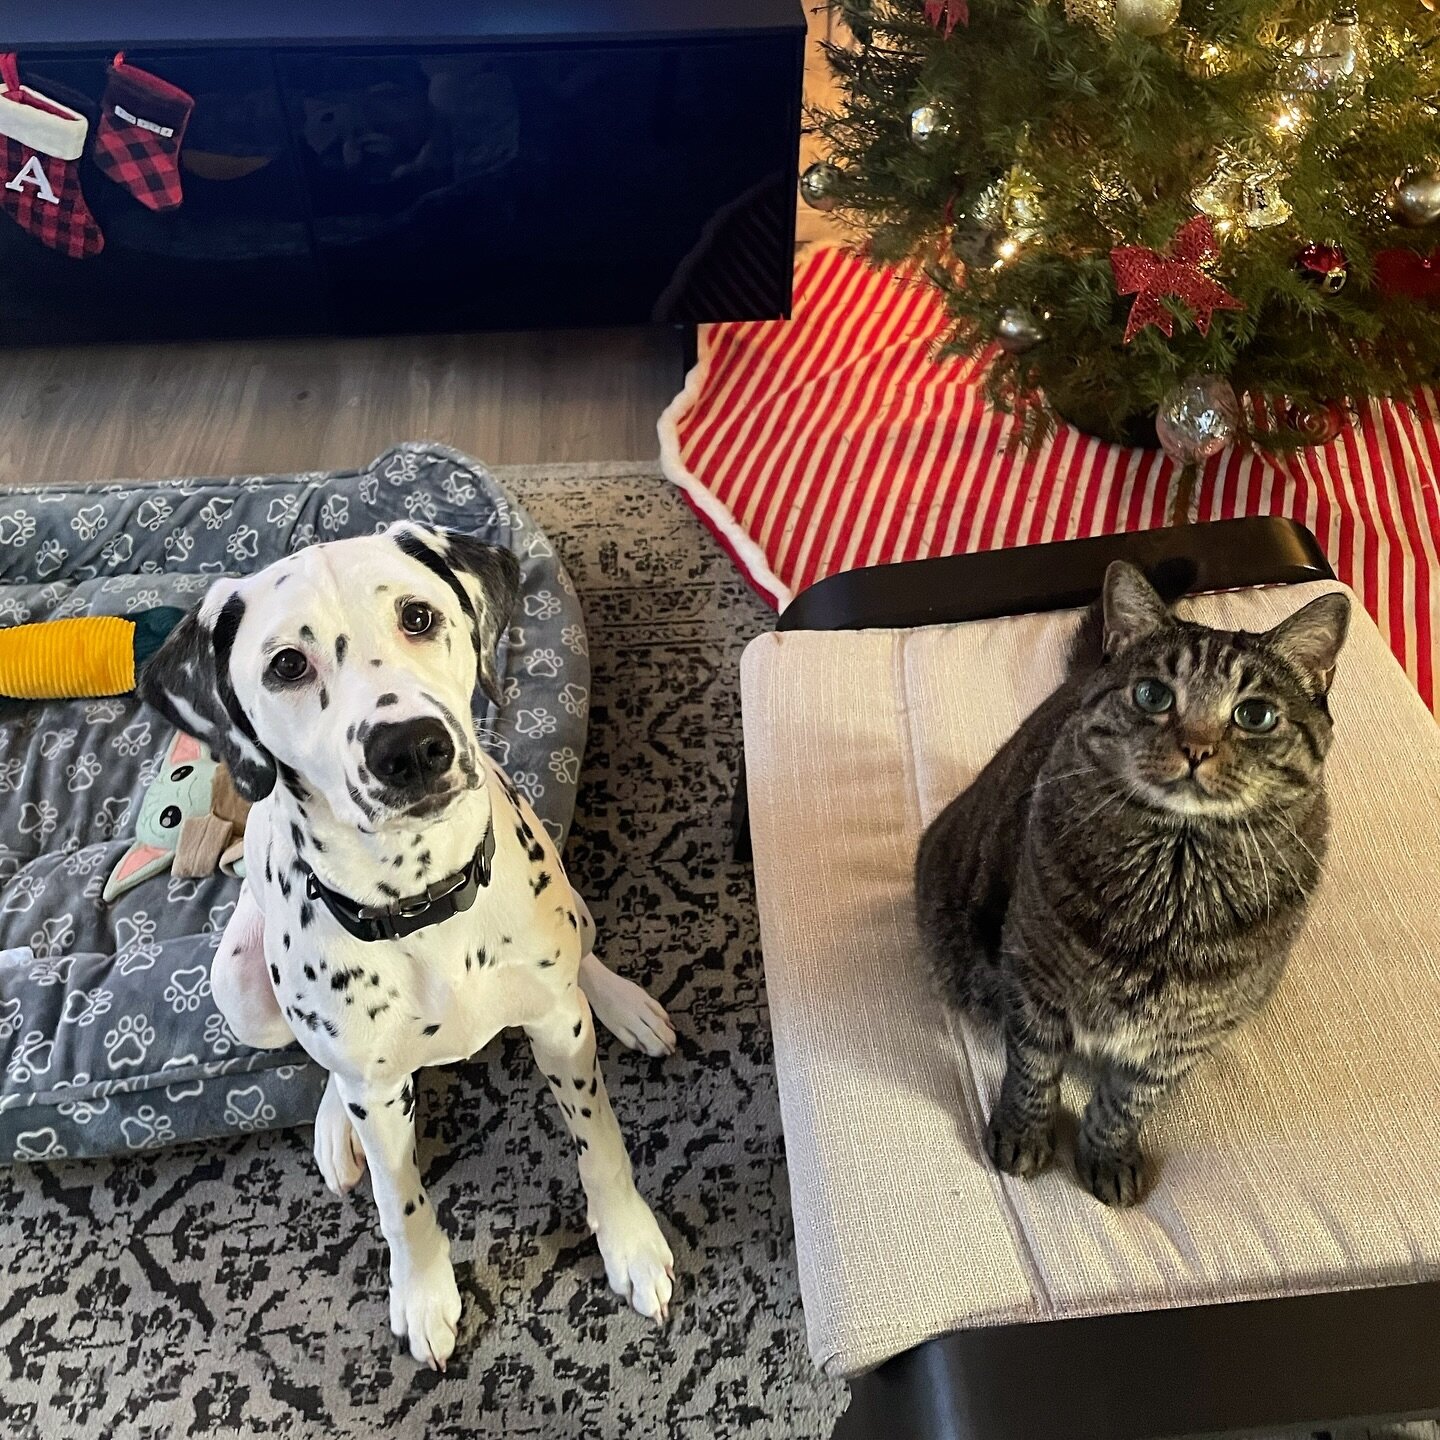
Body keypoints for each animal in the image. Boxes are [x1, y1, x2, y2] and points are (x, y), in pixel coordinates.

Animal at [140, 524, 673, 1365]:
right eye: (286, 664)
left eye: (418, 617)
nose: (411, 748)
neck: (422, 902)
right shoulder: (382, 1100)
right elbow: (402, 1203)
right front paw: (423, 1296)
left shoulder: (558, 1032)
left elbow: (602, 1144)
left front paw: (631, 1244)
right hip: (241, 994)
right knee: (323, 1065)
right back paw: (334, 1129)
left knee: (585, 953)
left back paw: (624, 1003)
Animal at [910, 561, 1347, 1203]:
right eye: (1152, 695)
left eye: (1255, 715)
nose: (1196, 748)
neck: (1174, 879)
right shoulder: (1036, 983)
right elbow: (1033, 1071)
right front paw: (1023, 1132)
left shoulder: (1178, 1039)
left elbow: (1126, 1102)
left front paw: (1107, 1154)